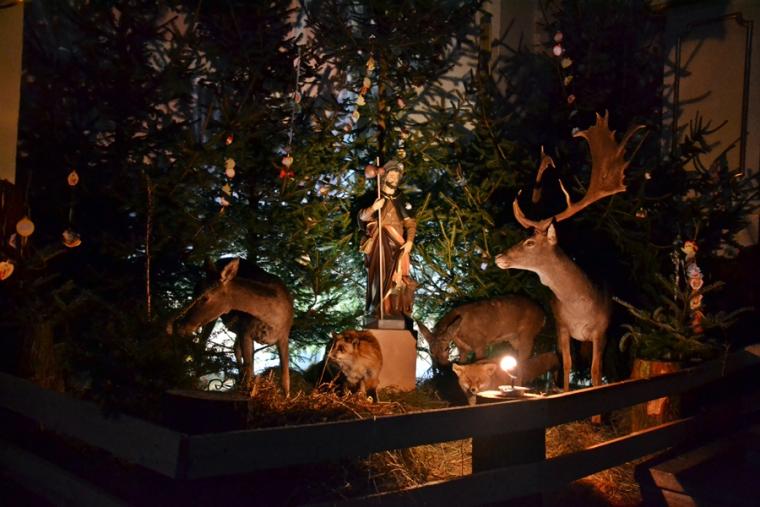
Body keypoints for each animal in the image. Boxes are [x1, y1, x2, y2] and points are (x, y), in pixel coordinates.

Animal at [168, 257, 293, 397]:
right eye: (194, 292)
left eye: (205, 297)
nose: (178, 326)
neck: (272, 319)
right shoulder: (245, 330)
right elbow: (249, 367)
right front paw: (249, 391)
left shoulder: (284, 336)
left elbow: (285, 377)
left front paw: (286, 397)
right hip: (218, 321)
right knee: (203, 343)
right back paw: (194, 381)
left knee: (234, 347)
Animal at [415, 295, 546, 384]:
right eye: (431, 351)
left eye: (447, 348)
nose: (442, 366)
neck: (459, 331)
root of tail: (543, 315)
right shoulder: (463, 349)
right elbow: (462, 365)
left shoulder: (480, 343)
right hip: (514, 339)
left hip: (527, 334)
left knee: (525, 360)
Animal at [495, 112, 643, 393]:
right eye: (522, 237)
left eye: (530, 243)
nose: (499, 257)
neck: (580, 308)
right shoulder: (561, 326)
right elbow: (566, 365)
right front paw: (564, 393)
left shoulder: (602, 331)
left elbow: (596, 371)